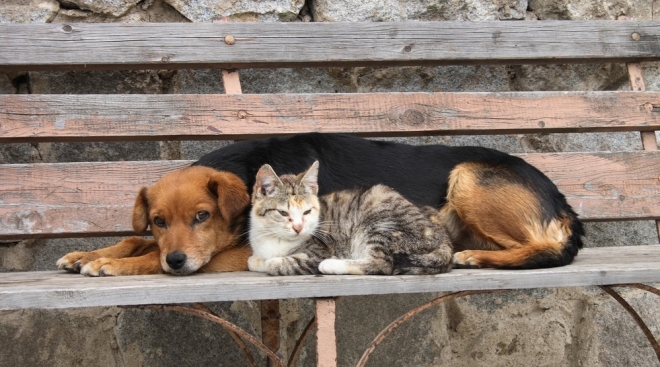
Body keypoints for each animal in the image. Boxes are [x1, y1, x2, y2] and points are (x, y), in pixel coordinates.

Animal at [56, 167, 251, 276]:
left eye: (202, 215)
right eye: (159, 221)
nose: (174, 260)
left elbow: (155, 256)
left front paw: (110, 263)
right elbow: (136, 241)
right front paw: (83, 256)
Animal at [248, 161, 454, 276]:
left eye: (307, 212)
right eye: (283, 213)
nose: (298, 227)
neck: (273, 239)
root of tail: (443, 240)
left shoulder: (318, 251)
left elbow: (276, 263)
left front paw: (271, 262)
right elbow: (253, 261)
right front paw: (258, 260)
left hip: (382, 222)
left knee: (382, 263)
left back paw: (331, 265)